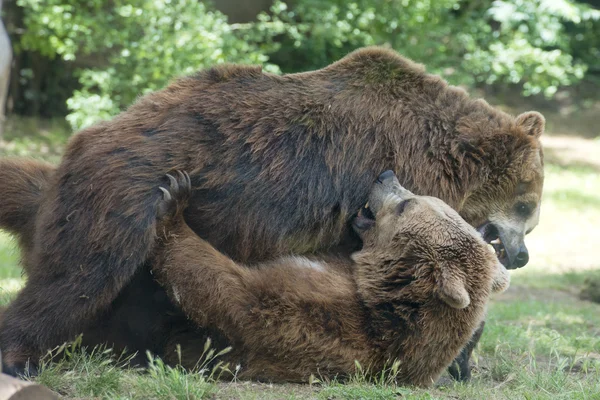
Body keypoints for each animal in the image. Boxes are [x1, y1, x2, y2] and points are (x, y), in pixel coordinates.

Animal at [149, 170, 506, 388]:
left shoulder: (315, 318)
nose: (385, 175)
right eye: (416, 195)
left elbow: (226, 291)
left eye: (407, 203)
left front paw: (174, 200)